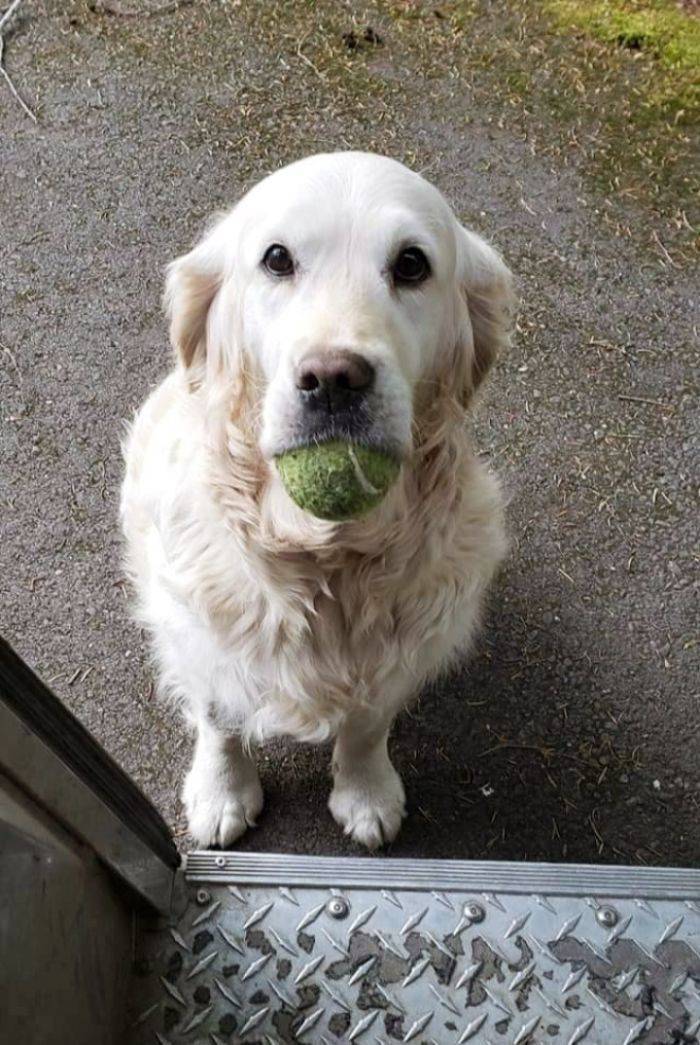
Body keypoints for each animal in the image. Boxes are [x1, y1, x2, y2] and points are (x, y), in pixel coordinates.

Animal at [122, 151, 516, 848]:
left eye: (411, 264)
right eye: (277, 258)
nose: (334, 378)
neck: (326, 558)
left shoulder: (400, 652)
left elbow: (366, 724)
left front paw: (365, 792)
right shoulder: (201, 633)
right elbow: (220, 719)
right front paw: (222, 792)